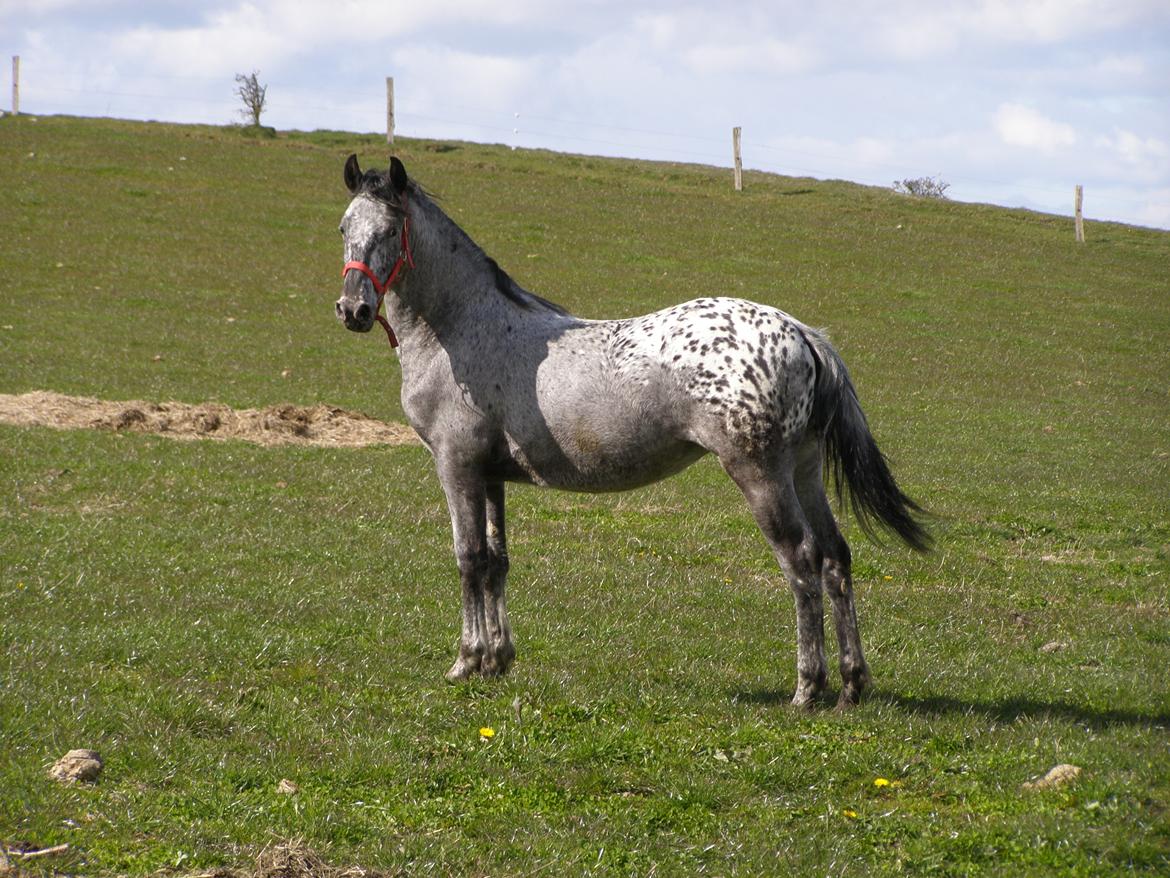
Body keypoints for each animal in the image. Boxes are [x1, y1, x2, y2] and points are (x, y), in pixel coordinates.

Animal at [334, 156, 926, 707]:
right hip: (804, 470)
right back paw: (851, 684)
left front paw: (467, 660)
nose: (353, 309)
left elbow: (469, 559)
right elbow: (497, 561)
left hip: (761, 476)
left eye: (391, 230)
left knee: (801, 561)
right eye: (344, 227)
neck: (460, 329)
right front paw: (498, 659)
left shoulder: (456, 467)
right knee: (835, 558)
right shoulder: (492, 475)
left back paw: (807, 687)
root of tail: (801, 332)